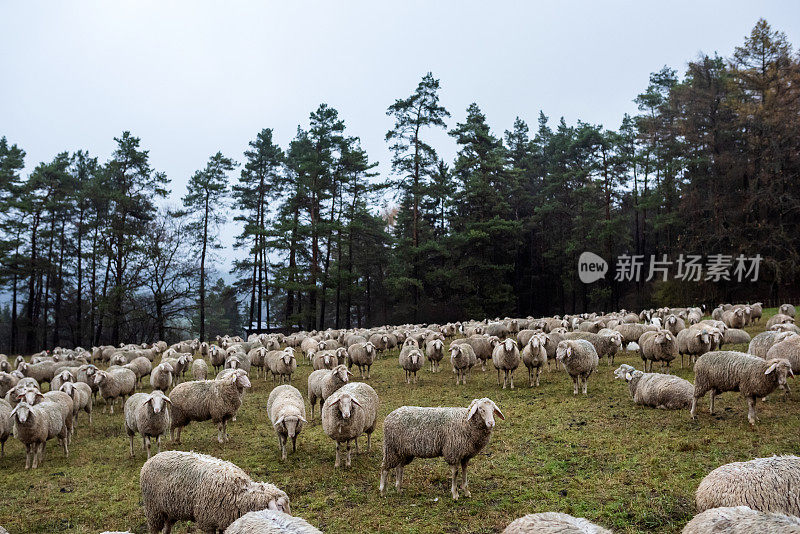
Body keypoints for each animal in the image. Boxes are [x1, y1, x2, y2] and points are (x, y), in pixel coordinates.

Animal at [141, 452, 290, 534]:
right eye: (280, 506)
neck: (241, 494)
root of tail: (152, 458)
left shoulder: (224, 520)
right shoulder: (207, 523)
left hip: (170, 510)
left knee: (167, 529)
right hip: (153, 509)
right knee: (154, 529)